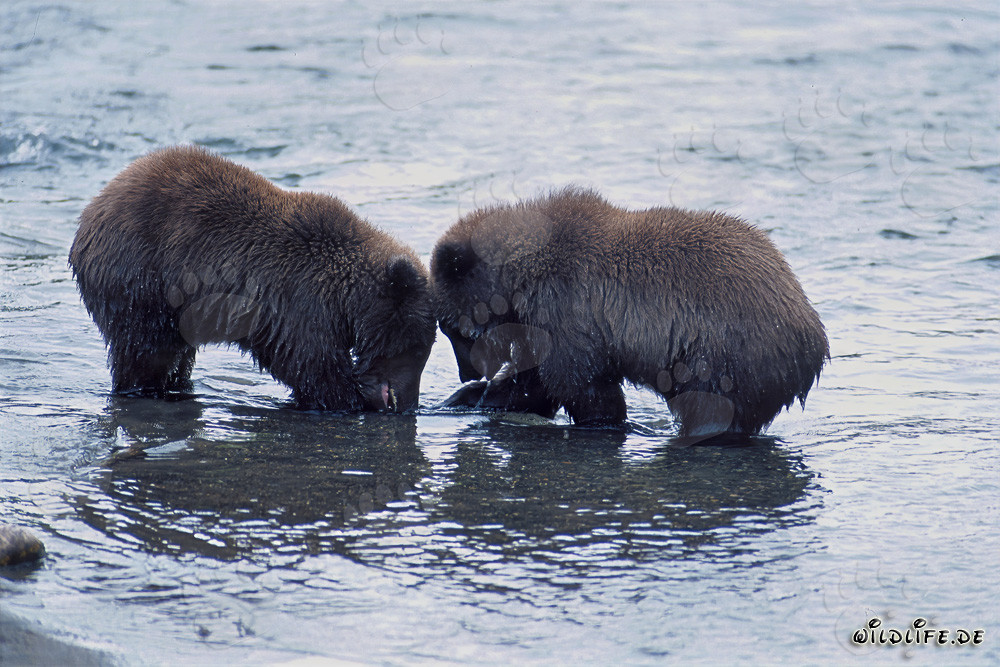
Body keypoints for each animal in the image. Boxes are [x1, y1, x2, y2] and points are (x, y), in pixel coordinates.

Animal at [69, 146, 435, 412]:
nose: (408, 404)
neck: (345, 296)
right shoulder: (301, 302)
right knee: (143, 351)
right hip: (141, 282)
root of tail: (90, 212)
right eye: (418, 347)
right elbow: (310, 364)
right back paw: (146, 390)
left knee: (176, 355)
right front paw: (348, 398)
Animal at [431, 187, 829, 435]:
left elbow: (578, 384)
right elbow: (534, 381)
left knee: (713, 407)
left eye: (455, 329)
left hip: (726, 353)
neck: (521, 283)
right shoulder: (540, 325)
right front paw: (469, 398)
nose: (467, 373)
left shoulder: (568, 312)